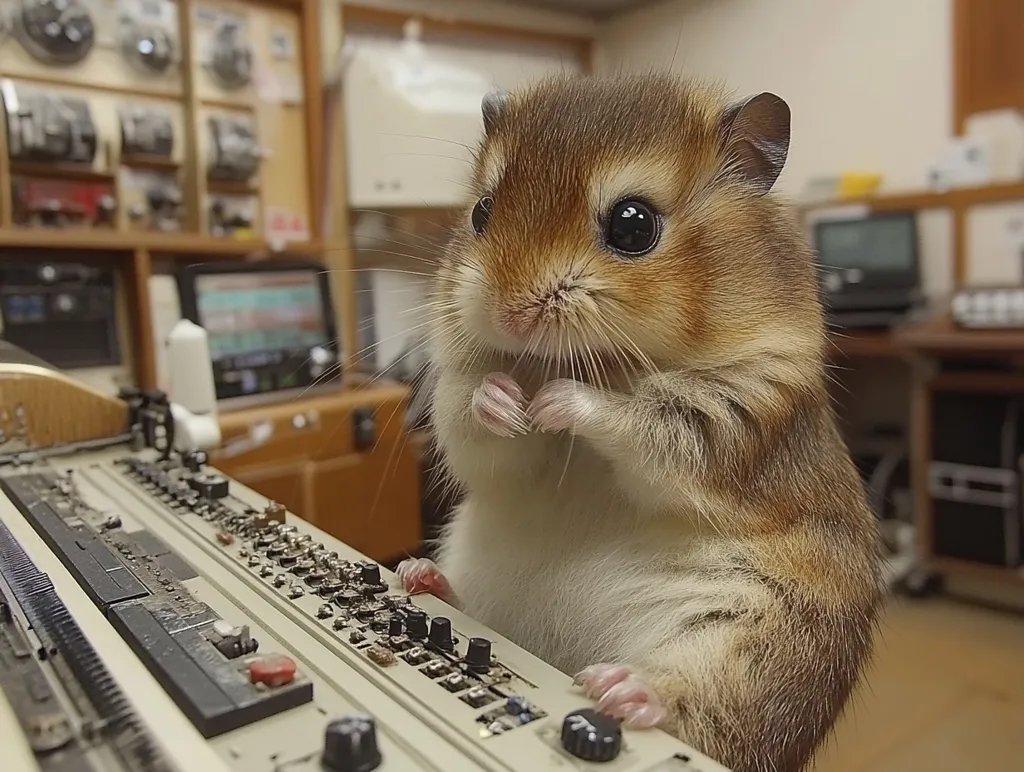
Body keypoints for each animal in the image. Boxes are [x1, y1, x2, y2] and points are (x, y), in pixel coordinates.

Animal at [397, 73, 882, 772]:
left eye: (633, 225)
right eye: (481, 212)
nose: (511, 316)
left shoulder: (730, 415)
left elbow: (634, 419)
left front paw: (556, 401)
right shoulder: (468, 412)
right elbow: (476, 424)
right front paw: (506, 401)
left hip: (762, 647)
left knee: (696, 707)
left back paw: (621, 689)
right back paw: (423, 579)